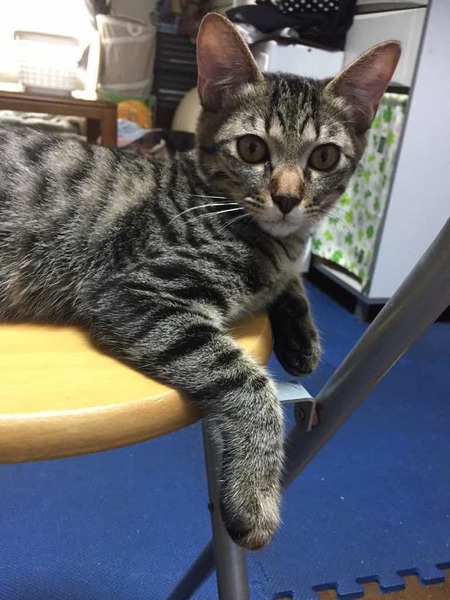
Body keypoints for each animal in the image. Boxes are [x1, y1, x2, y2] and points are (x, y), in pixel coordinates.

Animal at [0, 14, 400, 550]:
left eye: (324, 158)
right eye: (252, 148)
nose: (288, 198)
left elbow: (290, 282)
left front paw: (302, 340)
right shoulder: (134, 290)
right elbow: (250, 383)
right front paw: (256, 495)